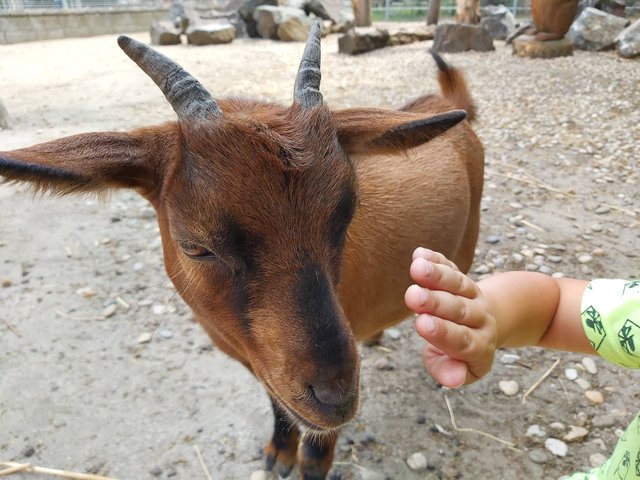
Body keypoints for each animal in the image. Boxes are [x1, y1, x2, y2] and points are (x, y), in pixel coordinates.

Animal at [0, 24, 480, 478]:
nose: (335, 397)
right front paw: (279, 452)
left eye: (347, 214)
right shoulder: (263, 365)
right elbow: (277, 403)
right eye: (195, 246)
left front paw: (309, 461)